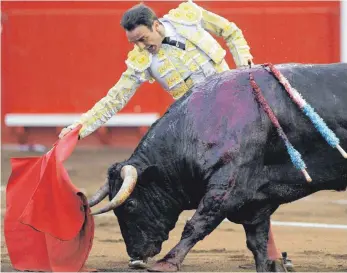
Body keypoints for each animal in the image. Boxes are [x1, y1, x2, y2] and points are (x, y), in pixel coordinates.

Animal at [87, 62, 347, 272]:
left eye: (130, 204)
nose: (135, 255)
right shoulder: (256, 201)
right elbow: (257, 241)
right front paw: (268, 266)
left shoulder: (226, 188)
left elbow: (198, 223)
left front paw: (166, 263)